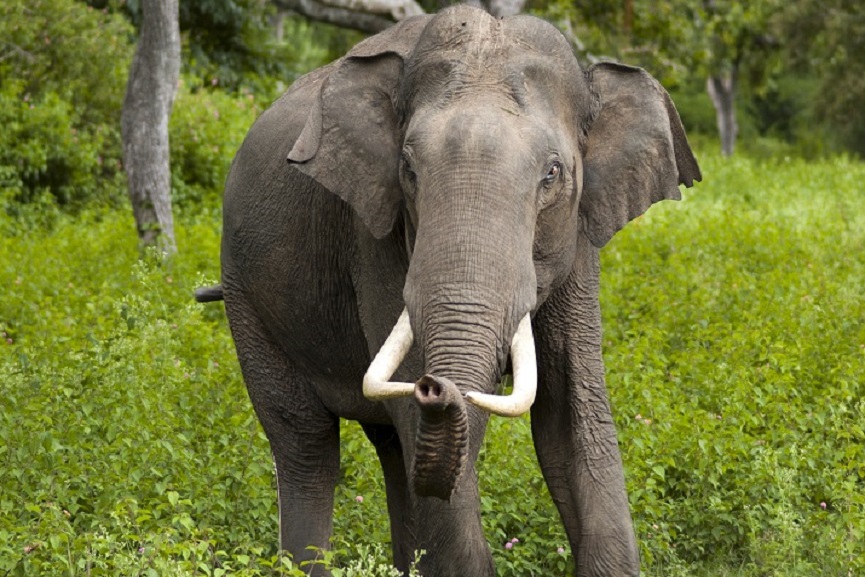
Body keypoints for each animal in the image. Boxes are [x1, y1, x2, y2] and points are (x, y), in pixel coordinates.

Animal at [197, 5, 701, 577]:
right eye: (408, 169)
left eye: (553, 174)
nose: (435, 387)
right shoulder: (375, 235)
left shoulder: (579, 239)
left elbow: (572, 417)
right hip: (244, 292)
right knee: (306, 442)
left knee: (392, 449)